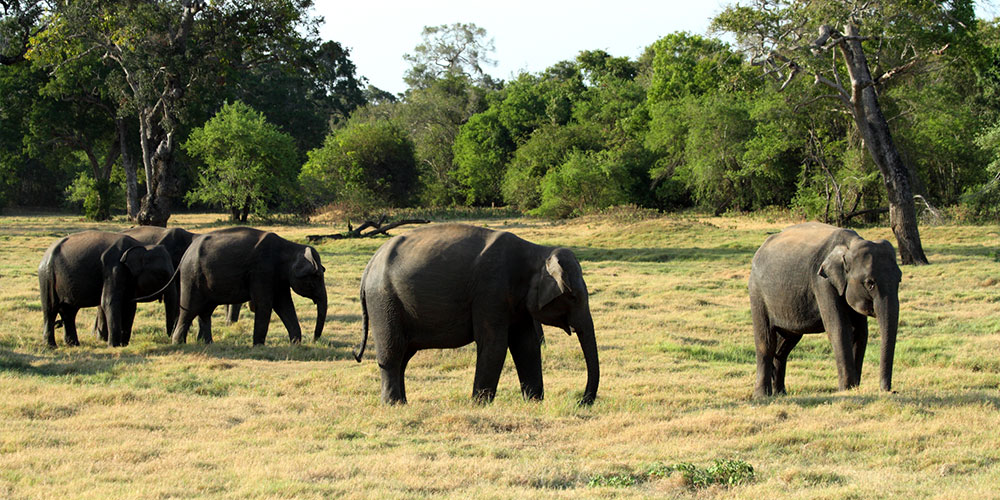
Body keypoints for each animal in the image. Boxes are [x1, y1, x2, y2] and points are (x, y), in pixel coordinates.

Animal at [38, 231, 177, 347]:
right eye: (162, 274)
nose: (169, 339)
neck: (140, 245)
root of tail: (45, 254)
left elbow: (130, 305)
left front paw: (123, 345)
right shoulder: (113, 269)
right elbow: (109, 302)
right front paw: (114, 346)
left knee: (70, 311)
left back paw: (73, 344)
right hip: (47, 276)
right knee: (51, 309)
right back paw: (51, 346)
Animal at [160, 227, 327, 345]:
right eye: (317, 276)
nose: (314, 340)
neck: (290, 247)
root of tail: (186, 253)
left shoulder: (278, 278)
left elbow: (284, 305)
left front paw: (295, 344)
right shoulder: (262, 271)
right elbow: (265, 304)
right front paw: (259, 346)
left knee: (205, 311)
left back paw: (207, 343)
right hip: (191, 276)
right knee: (189, 309)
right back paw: (179, 343)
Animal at [354, 223, 600, 405]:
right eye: (573, 297)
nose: (581, 401)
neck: (536, 251)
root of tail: (368, 267)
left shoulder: (516, 302)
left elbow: (526, 344)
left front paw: (533, 402)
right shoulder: (491, 290)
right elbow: (495, 343)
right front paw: (479, 404)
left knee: (404, 355)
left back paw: (403, 403)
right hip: (384, 301)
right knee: (393, 352)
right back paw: (393, 404)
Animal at [748, 222, 902, 398]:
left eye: (899, 279)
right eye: (870, 283)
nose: (889, 390)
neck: (849, 244)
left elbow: (861, 332)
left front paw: (854, 388)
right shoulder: (822, 283)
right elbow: (839, 328)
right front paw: (847, 389)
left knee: (785, 344)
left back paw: (781, 393)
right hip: (757, 293)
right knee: (766, 341)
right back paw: (762, 395)